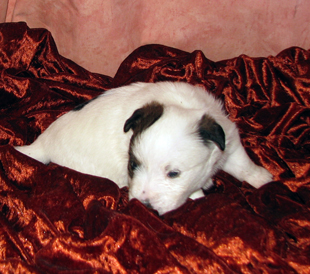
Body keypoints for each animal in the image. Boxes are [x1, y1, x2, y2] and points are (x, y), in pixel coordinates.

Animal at [14, 82, 272, 215]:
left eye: (173, 173)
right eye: (133, 164)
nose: (144, 206)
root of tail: (41, 144)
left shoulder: (229, 140)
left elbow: (243, 165)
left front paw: (265, 180)